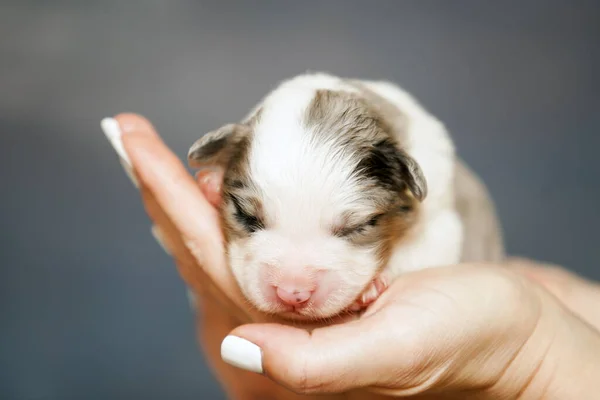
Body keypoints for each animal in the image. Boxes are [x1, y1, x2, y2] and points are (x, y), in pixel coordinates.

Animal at [189, 72, 506, 322]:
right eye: (246, 216)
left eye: (358, 227)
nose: (292, 294)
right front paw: (212, 181)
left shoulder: (442, 228)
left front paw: (373, 286)